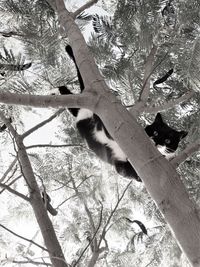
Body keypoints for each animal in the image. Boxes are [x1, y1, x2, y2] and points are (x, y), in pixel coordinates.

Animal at [56, 45, 188, 182]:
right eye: (156, 132)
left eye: (168, 140)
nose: (157, 141)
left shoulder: (121, 164)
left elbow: (128, 172)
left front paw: (138, 176)